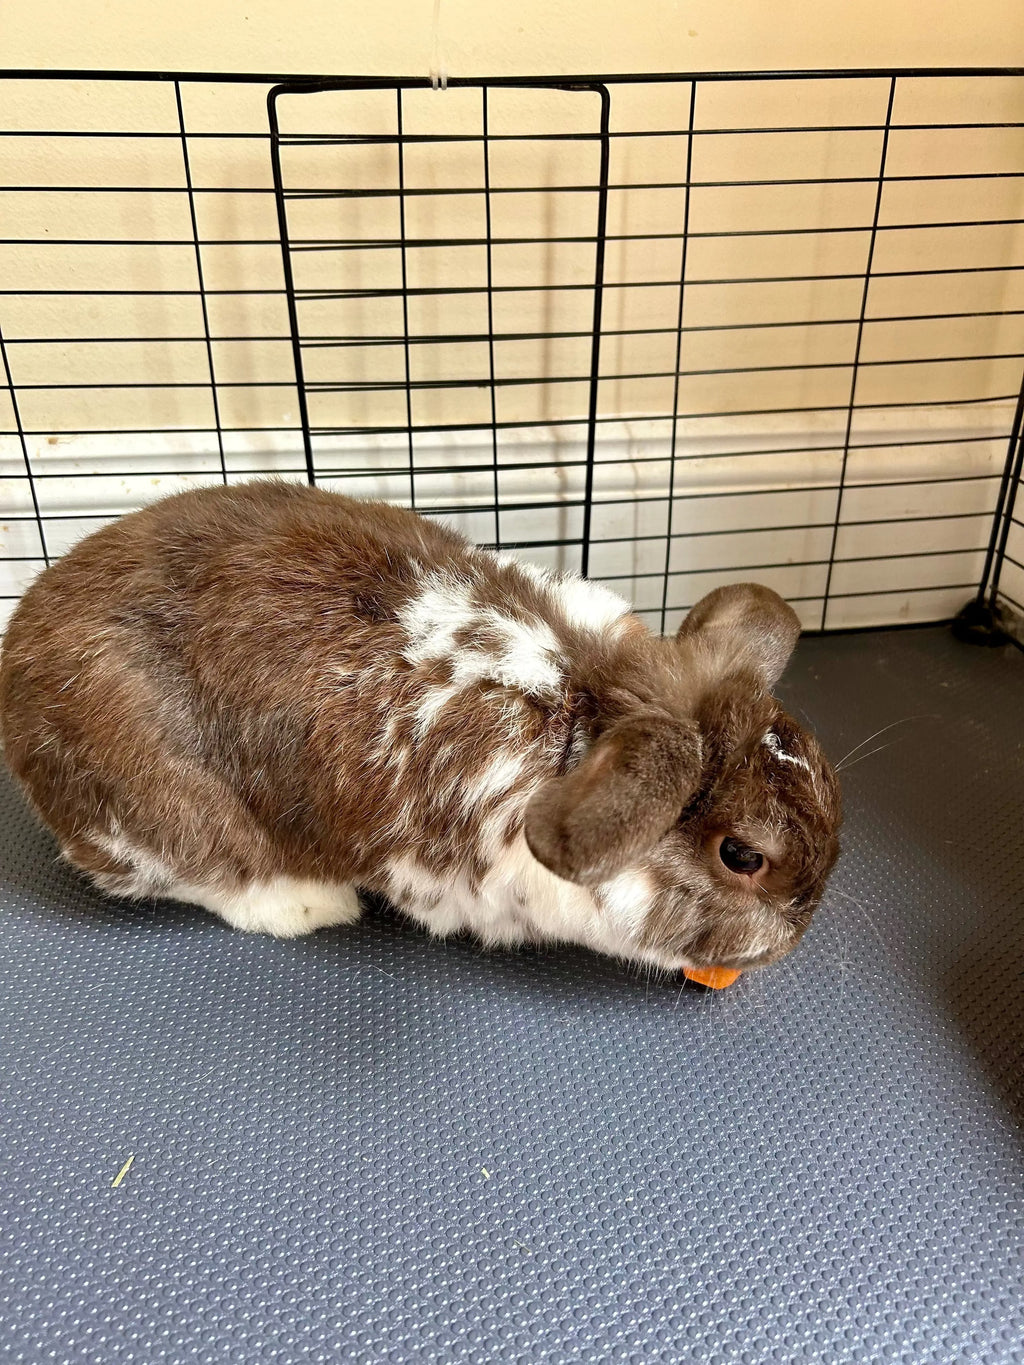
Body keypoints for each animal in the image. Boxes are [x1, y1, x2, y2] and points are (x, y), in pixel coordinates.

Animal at [0, 479, 841, 975]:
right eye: (742, 856)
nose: (798, 933)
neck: (587, 704)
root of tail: (18, 666)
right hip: (167, 811)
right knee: (208, 874)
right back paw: (309, 903)